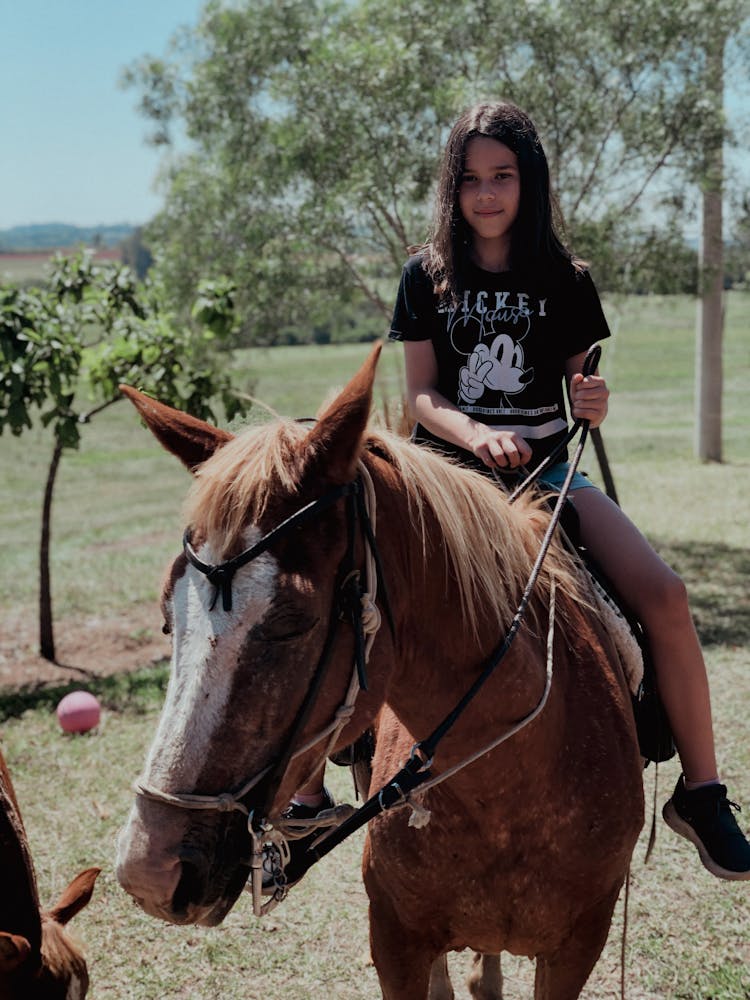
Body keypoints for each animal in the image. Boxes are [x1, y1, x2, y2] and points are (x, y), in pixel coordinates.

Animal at [117, 346, 648, 1000]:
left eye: (292, 622)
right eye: (170, 617)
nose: (150, 869)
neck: (510, 784)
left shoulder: (577, 948)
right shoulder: (396, 942)